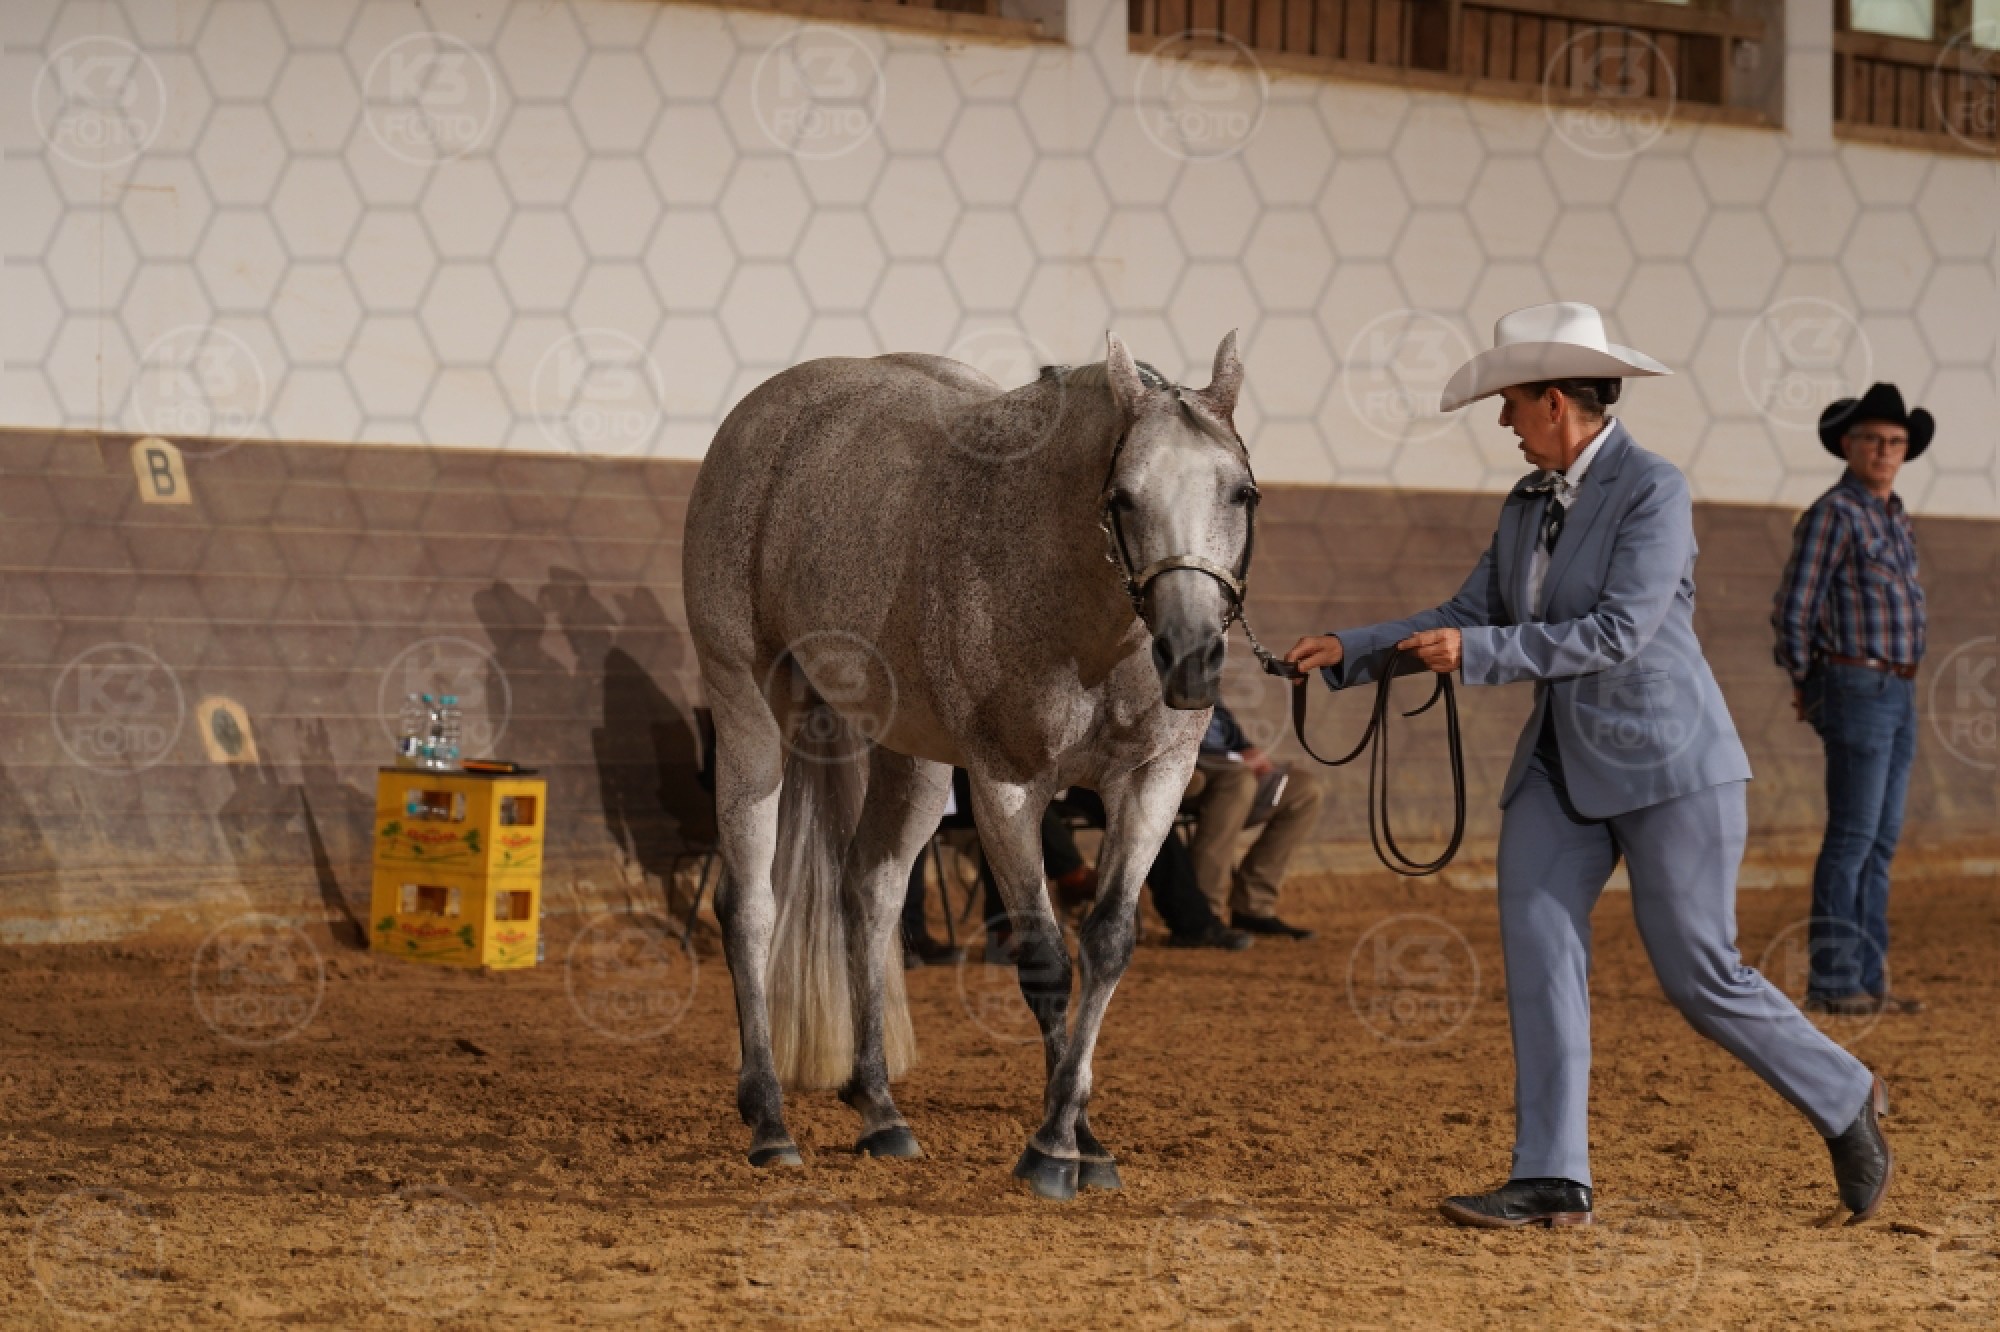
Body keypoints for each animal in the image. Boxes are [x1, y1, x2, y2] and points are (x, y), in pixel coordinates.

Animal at [681, 331, 1257, 1200]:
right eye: (1123, 497)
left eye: (1242, 494)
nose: (1192, 657)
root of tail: (766, 416)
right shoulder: (1007, 788)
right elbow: (1046, 958)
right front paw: (1051, 1150)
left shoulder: (1154, 781)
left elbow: (1109, 940)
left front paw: (1085, 1137)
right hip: (749, 716)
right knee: (748, 906)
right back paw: (770, 1121)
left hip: (912, 762)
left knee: (870, 894)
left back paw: (879, 1109)